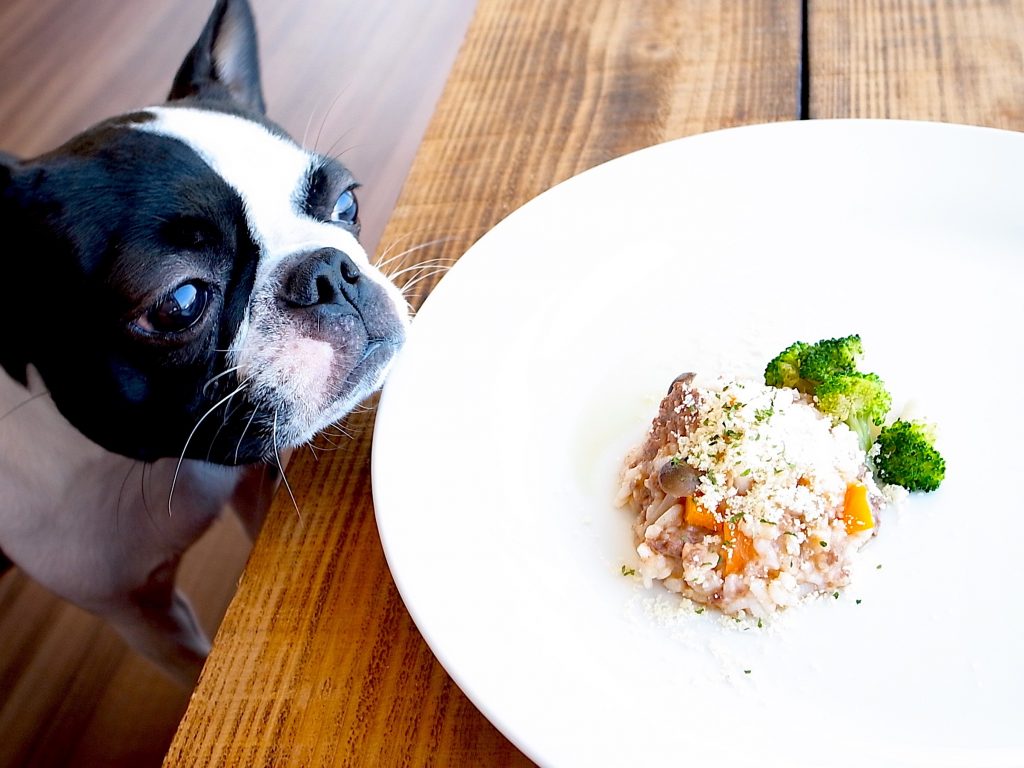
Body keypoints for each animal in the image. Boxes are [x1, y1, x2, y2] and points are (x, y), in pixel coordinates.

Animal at [0, 0, 407, 684]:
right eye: (181, 302)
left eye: (346, 203)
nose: (330, 272)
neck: (169, 461)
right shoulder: (136, 612)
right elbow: (191, 666)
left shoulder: (251, 483)